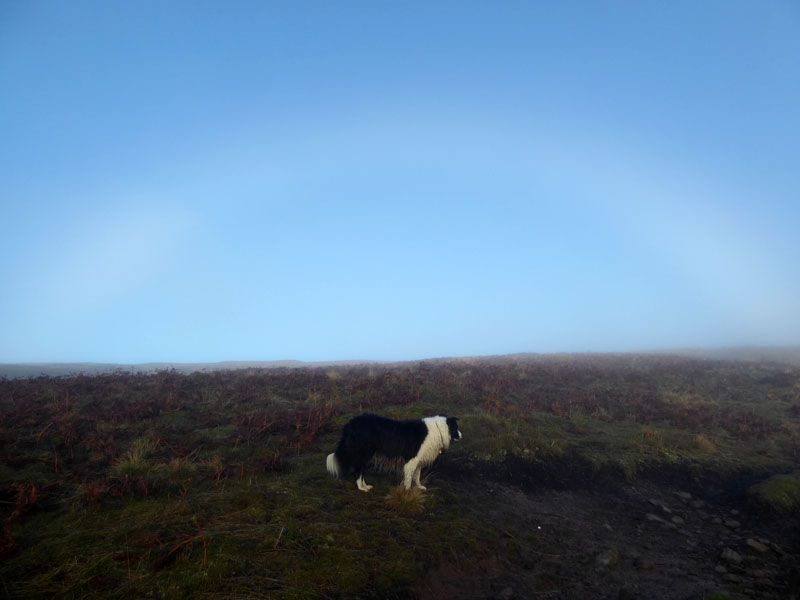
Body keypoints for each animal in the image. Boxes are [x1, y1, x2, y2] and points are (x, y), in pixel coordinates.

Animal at [326, 412, 462, 492]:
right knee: (358, 471)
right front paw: (407, 491)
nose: (461, 436)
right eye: (456, 428)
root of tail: (350, 423)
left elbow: (417, 475)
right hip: (364, 452)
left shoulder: (418, 458)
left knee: (361, 470)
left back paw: (365, 486)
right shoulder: (411, 458)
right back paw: (362, 488)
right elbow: (409, 477)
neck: (438, 429)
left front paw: (419, 487)